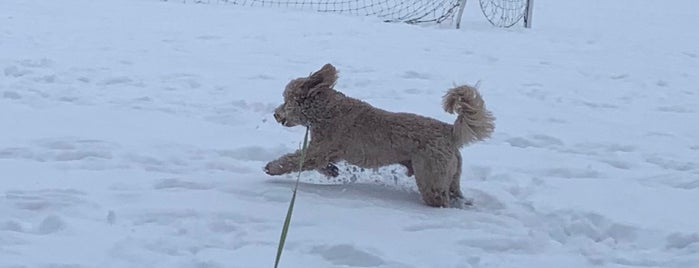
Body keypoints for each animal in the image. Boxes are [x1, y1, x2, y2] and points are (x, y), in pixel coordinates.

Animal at [266, 63, 494, 208]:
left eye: (286, 101)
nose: (275, 114)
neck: (326, 111)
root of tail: (449, 130)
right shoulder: (325, 151)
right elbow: (318, 163)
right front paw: (332, 171)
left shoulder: (321, 149)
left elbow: (294, 159)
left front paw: (272, 167)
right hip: (450, 177)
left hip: (431, 178)